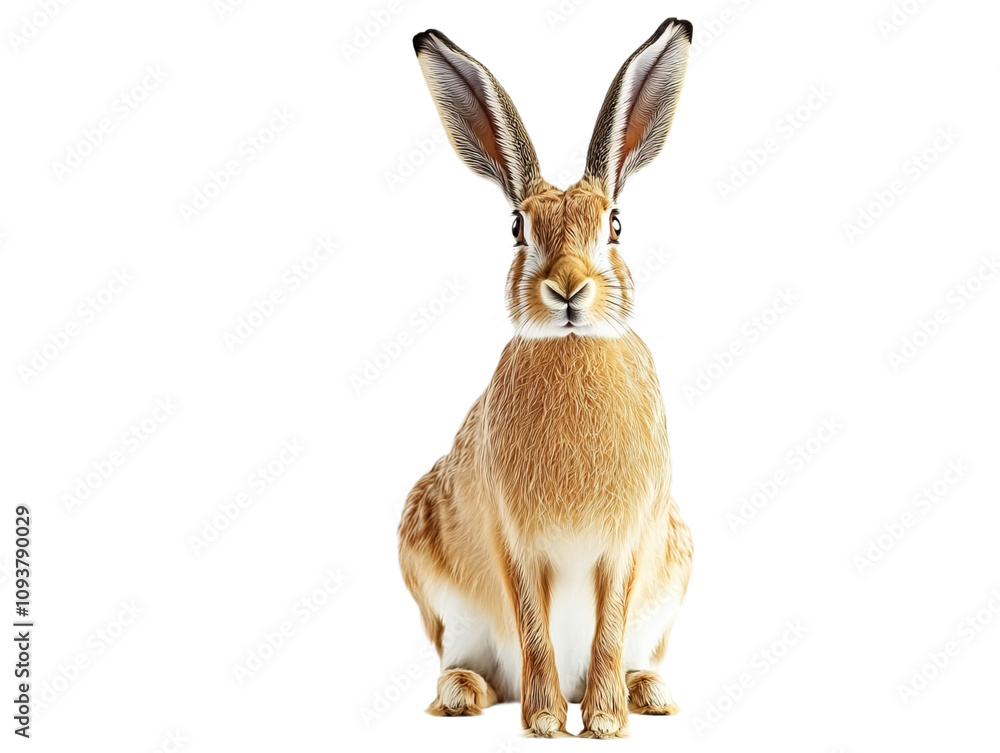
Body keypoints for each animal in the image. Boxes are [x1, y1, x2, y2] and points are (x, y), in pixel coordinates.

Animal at [398, 18, 694, 739]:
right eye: (517, 228)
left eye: (615, 223)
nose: (567, 288)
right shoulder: (516, 540)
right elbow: (532, 628)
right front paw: (544, 722)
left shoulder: (626, 544)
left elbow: (610, 628)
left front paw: (607, 722)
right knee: (481, 666)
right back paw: (462, 693)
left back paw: (648, 692)